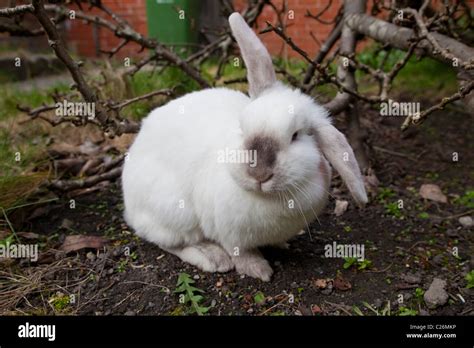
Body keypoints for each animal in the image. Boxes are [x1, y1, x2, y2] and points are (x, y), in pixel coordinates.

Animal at [121, 12, 366, 282]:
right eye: (242, 127)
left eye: (295, 136)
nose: (259, 173)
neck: (267, 198)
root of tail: (129, 206)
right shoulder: (228, 234)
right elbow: (240, 252)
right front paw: (258, 270)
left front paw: (281, 245)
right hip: (175, 212)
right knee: (171, 242)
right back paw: (212, 258)